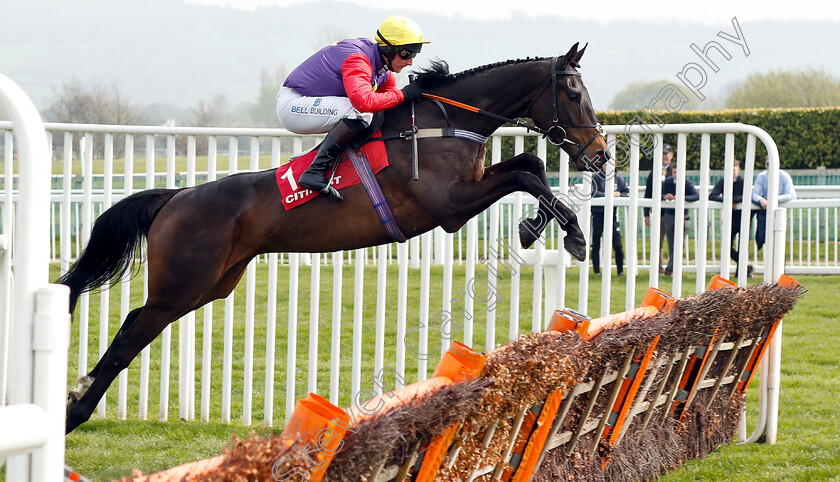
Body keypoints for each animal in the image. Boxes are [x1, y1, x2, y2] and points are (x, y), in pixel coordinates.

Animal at [60, 42, 612, 434]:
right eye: (575, 95)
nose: (601, 154)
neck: (444, 124)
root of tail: (177, 197)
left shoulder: (468, 191)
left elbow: (530, 164)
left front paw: (544, 227)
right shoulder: (450, 208)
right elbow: (524, 172)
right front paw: (570, 233)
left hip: (209, 285)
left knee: (136, 323)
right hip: (182, 285)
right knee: (131, 333)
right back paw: (74, 413)